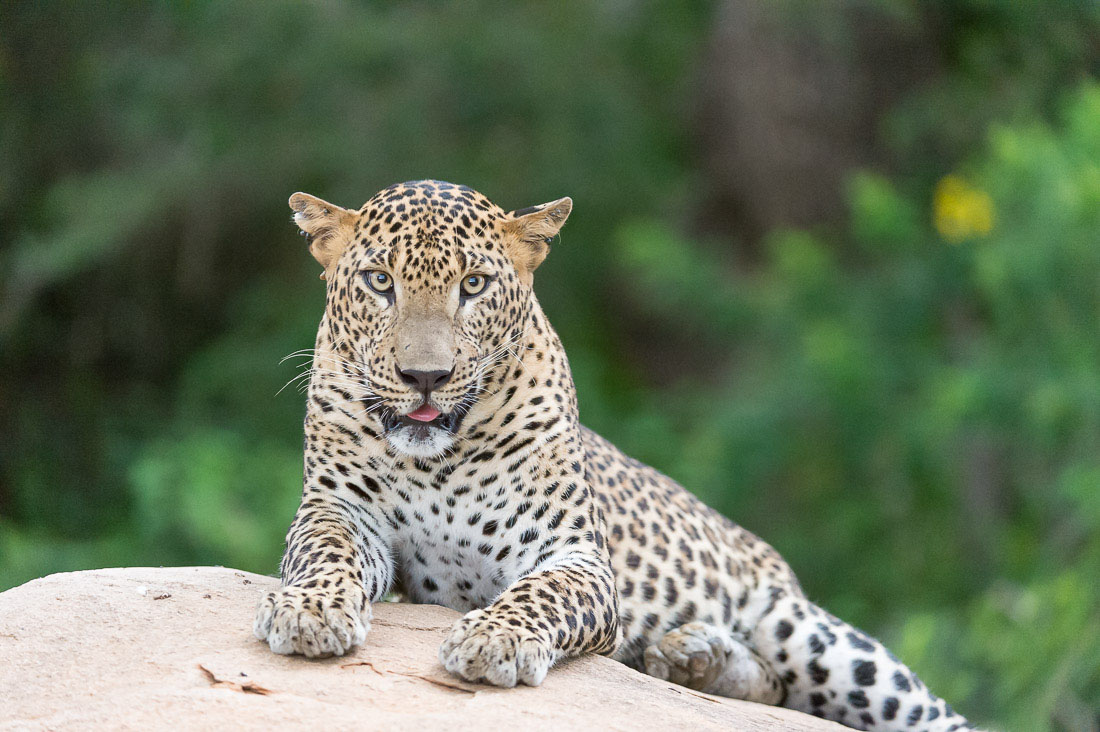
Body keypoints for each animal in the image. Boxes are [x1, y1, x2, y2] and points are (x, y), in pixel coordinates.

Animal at [255, 178, 981, 730]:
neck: (437, 459)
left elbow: (541, 593)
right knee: (775, 688)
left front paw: (495, 638)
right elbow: (324, 556)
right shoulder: (340, 513)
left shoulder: (575, 555)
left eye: (475, 285)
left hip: (811, 634)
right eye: (379, 282)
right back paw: (694, 658)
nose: (425, 376)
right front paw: (310, 611)